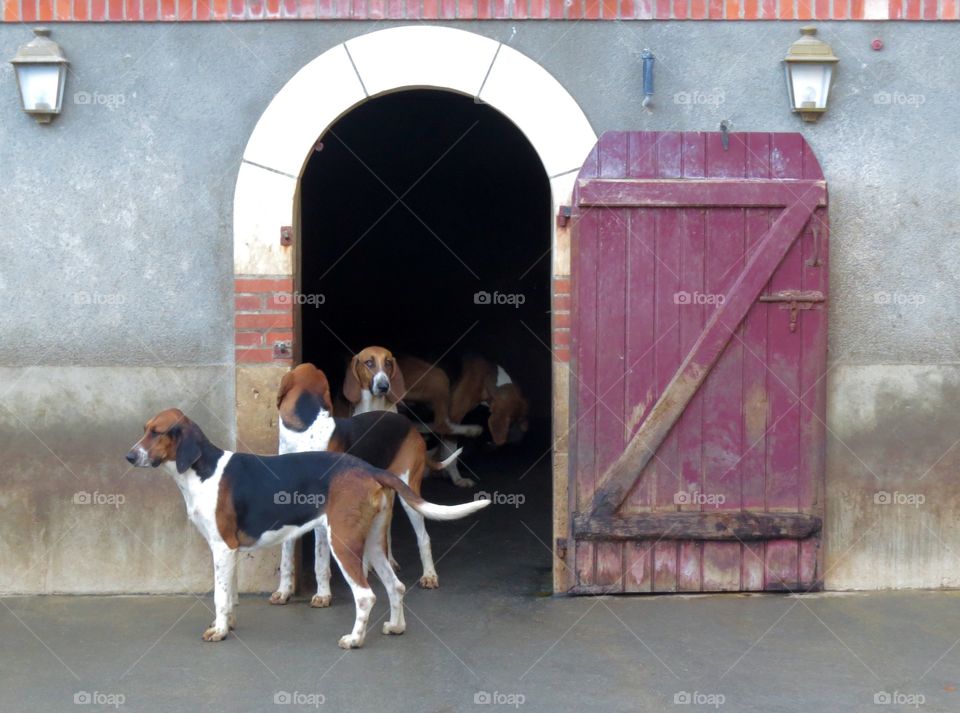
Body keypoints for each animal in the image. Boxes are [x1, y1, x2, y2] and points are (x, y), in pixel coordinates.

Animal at [126, 406, 488, 644]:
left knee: (366, 595)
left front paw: (219, 630)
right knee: (395, 586)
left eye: (157, 433)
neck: (203, 469)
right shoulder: (231, 552)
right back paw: (396, 627)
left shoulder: (222, 548)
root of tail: (368, 468)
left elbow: (219, 595)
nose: (129, 457)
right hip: (372, 542)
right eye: (144, 429)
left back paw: (354, 639)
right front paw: (228, 624)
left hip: (343, 542)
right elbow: (229, 596)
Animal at [276, 362, 460, 600]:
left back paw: (429, 575)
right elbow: (286, 557)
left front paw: (323, 595)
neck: (306, 427)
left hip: (408, 493)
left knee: (423, 538)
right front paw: (283, 591)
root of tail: (410, 425)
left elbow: (320, 560)